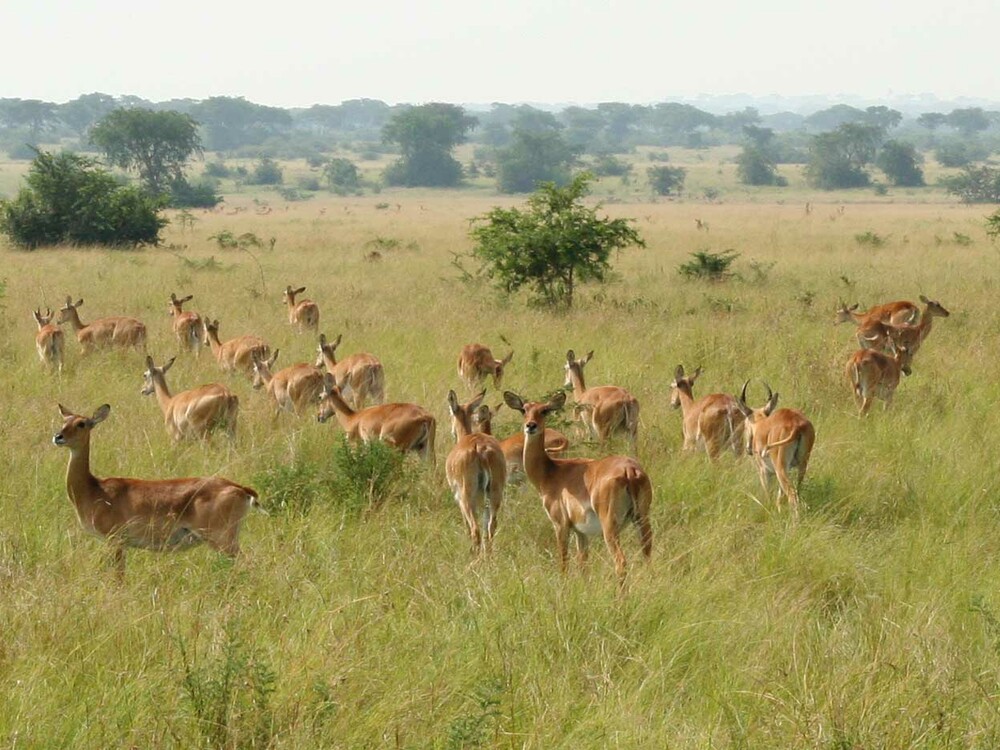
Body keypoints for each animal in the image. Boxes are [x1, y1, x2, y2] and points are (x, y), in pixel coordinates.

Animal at [52, 403, 260, 577]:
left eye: (81, 423)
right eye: (64, 421)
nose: (58, 437)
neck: (93, 489)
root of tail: (240, 489)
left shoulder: (115, 540)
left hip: (222, 539)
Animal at [445, 390, 506, 553]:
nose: (452, 432)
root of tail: (480, 450)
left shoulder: (458, 497)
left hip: (467, 497)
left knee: (475, 529)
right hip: (494, 493)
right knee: (491, 526)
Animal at [503, 391, 652, 583]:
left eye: (544, 410)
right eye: (524, 409)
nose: (531, 426)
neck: (551, 471)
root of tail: (630, 470)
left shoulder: (560, 525)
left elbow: (563, 562)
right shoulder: (581, 533)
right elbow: (583, 566)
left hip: (610, 527)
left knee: (621, 562)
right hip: (642, 519)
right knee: (647, 554)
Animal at [734, 382, 815, 519]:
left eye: (745, 423)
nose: (748, 449)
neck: (760, 425)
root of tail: (796, 425)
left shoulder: (764, 472)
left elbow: (768, 494)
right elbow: (779, 497)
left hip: (780, 469)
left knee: (792, 495)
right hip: (801, 465)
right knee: (797, 489)